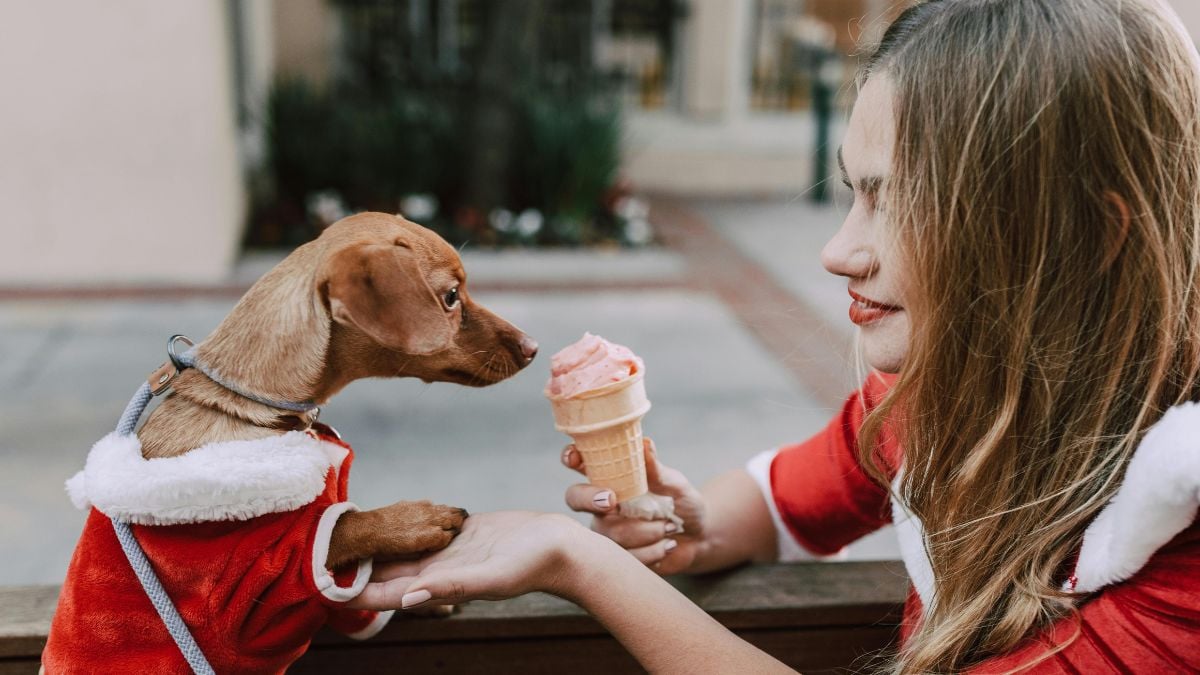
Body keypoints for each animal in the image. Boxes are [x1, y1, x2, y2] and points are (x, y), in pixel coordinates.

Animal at [43, 212, 540, 667]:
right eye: (451, 297)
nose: (533, 347)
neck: (254, 410)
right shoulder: (242, 597)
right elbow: (337, 528)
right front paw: (409, 522)